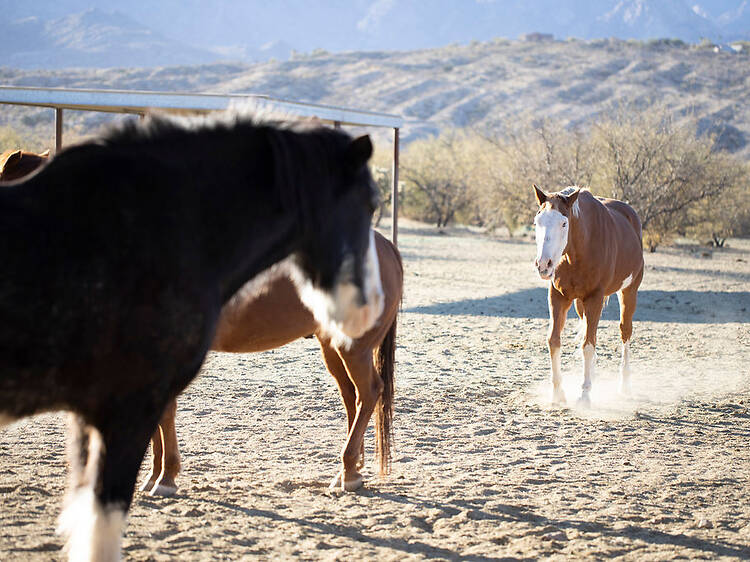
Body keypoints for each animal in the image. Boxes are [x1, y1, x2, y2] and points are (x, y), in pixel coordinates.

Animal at [140, 230, 402, 496]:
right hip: (333, 346)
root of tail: (385, 244)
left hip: (354, 349)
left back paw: (348, 473)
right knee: (352, 398)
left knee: (369, 393)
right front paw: (154, 475)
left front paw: (166, 478)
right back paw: (348, 471)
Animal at [533, 185, 644, 406]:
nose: (543, 264)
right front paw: (557, 393)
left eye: (564, 223)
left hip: (629, 291)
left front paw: (584, 395)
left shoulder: (595, 298)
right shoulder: (558, 297)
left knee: (625, 331)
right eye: (537, 221)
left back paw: (625, 385)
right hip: (579, 303)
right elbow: (554, 341)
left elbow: (588, 345)